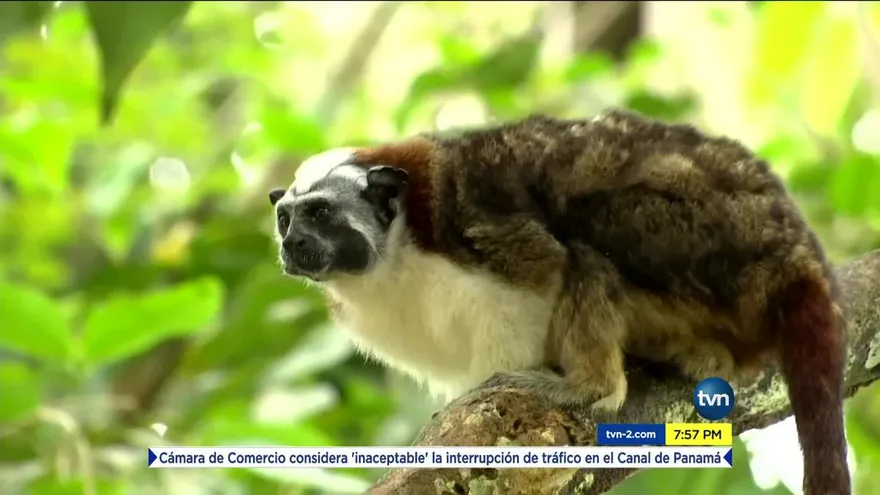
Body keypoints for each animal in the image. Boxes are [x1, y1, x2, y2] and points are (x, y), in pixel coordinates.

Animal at [268, 109, 850, 495]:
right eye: (286, 219)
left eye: (320, 214)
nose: (292, 245)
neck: (397, 249)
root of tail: (798, 250)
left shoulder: (479, 228)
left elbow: (545, 269)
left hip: (718, 247)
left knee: (585, 235)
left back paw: (590, 384)